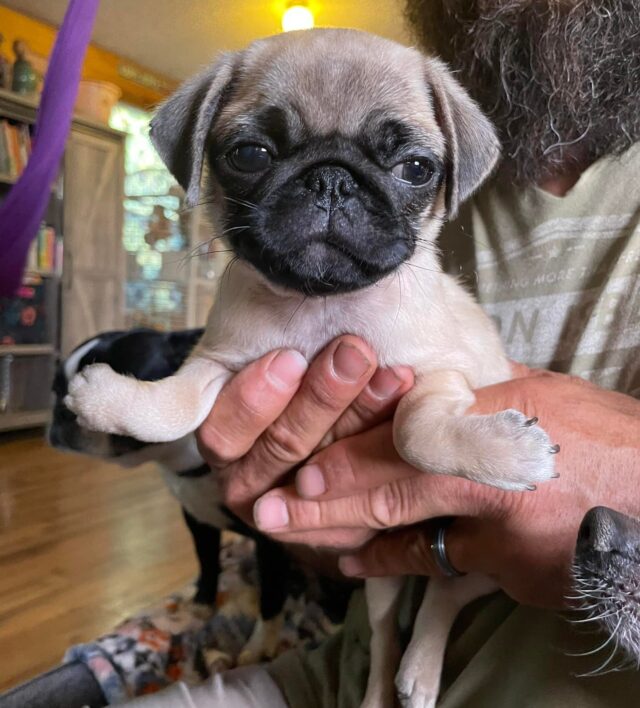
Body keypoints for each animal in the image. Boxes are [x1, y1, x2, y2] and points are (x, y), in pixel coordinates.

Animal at [50, 330, 350, 660]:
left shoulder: (270, 536)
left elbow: (271, 594)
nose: (61, 410)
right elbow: (207, 560)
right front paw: (203, 602)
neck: (184, 461)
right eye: (55, 388)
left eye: (125, 373)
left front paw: (260, 645)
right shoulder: (197, 518)